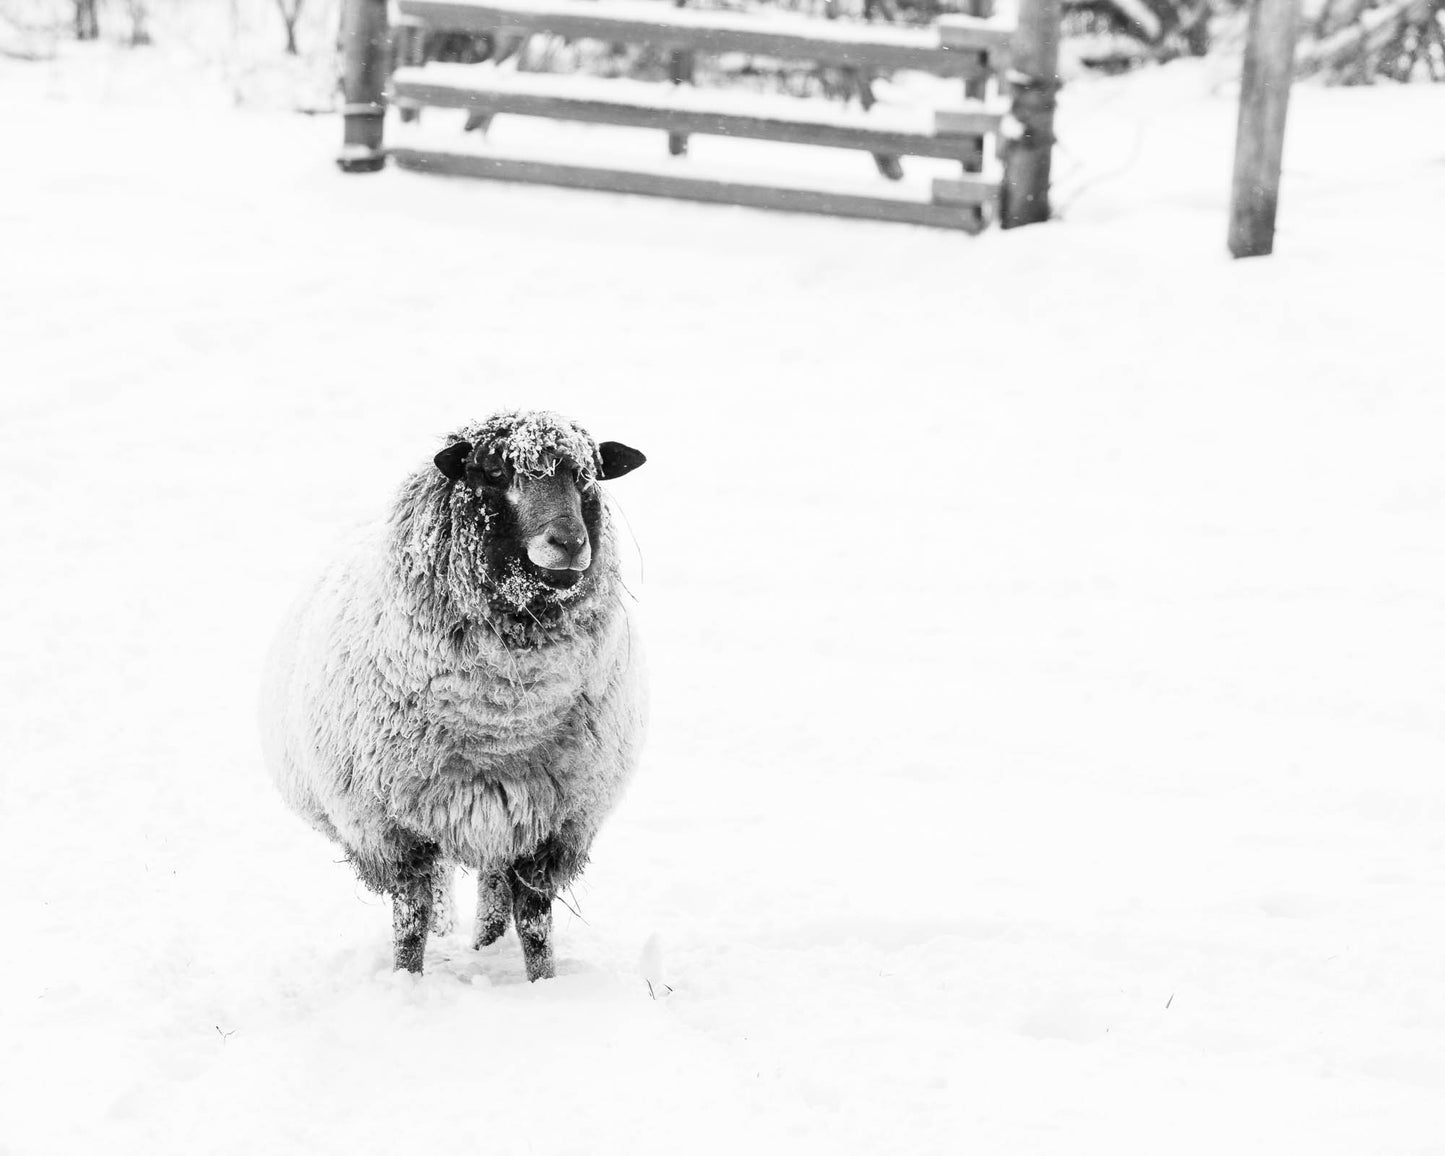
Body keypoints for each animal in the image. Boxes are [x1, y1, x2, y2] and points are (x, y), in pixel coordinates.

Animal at [260, 410, 648, 978]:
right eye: (494, 474)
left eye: (586, 476)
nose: (571, 543)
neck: (501, 723)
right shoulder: (390, 828)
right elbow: (411, 915)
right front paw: (407, 979)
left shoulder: (553, 826)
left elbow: (534, 919)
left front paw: (542, 981)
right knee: (440, 889)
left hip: (507, 816)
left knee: (495, 887)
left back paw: (487, 945)